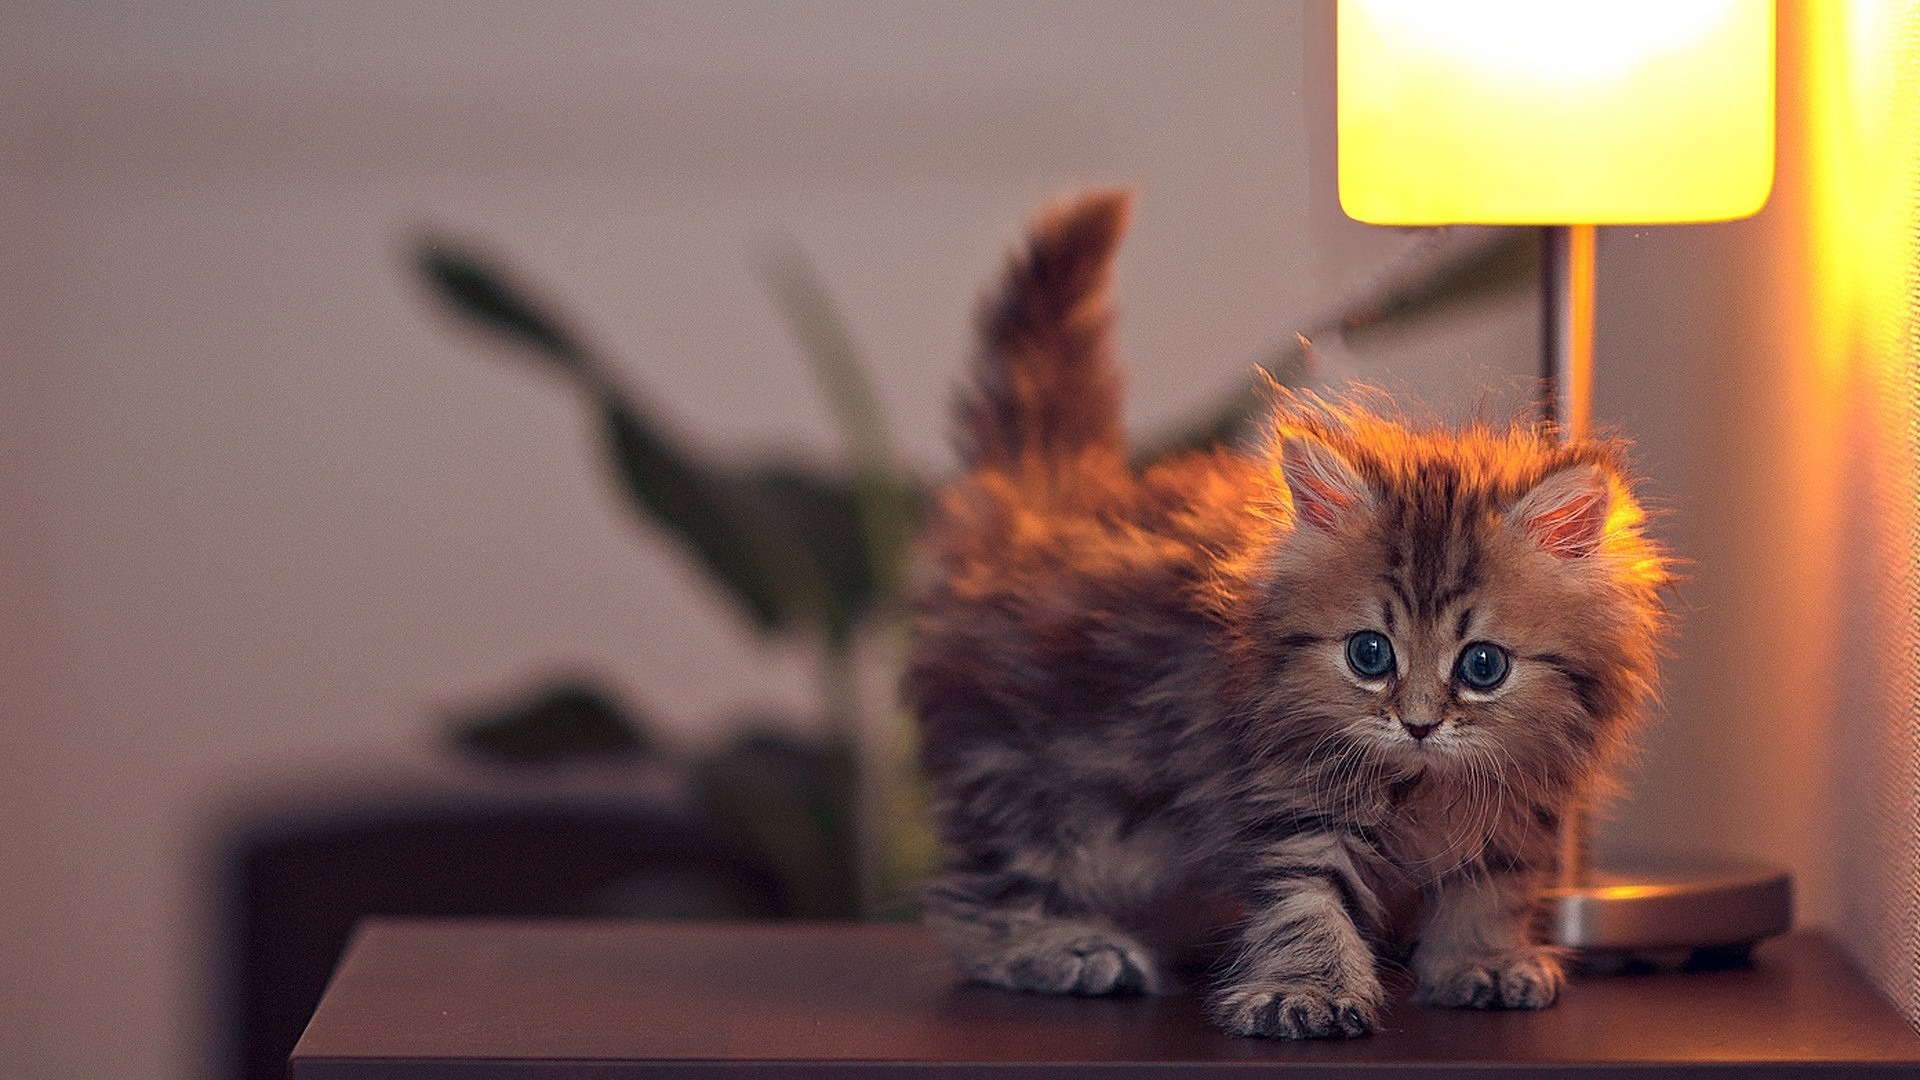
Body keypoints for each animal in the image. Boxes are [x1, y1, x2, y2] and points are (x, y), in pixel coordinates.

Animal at [898, 191, 1666, 1037]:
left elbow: (1490, 885)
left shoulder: (1519, 804)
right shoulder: (1286, 794)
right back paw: (1068, 949)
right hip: (1043, 790)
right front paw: (1309, 990)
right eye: (1370, 654)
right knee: (970, 897)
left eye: (1483, 666)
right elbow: (1307, 899)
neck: (1425, 785)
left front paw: (1483, 960)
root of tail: (1040, 517)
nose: (1419, 724)